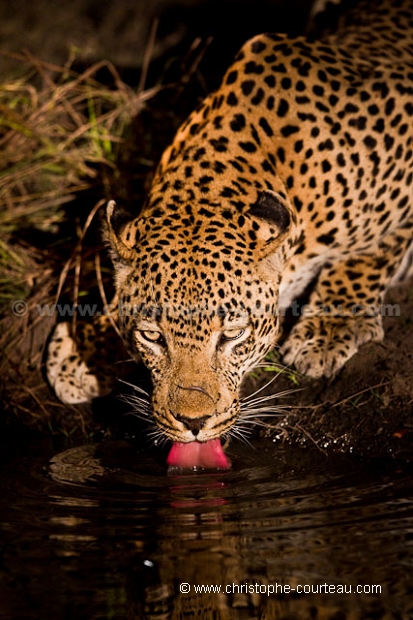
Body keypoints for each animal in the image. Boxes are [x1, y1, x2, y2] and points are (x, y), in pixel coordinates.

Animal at [46, 0, 410, 446]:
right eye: (152, 337)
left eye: (233, 336)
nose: (194, 423)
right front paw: (82, 349)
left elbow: (375, 248)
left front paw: (330, 329)